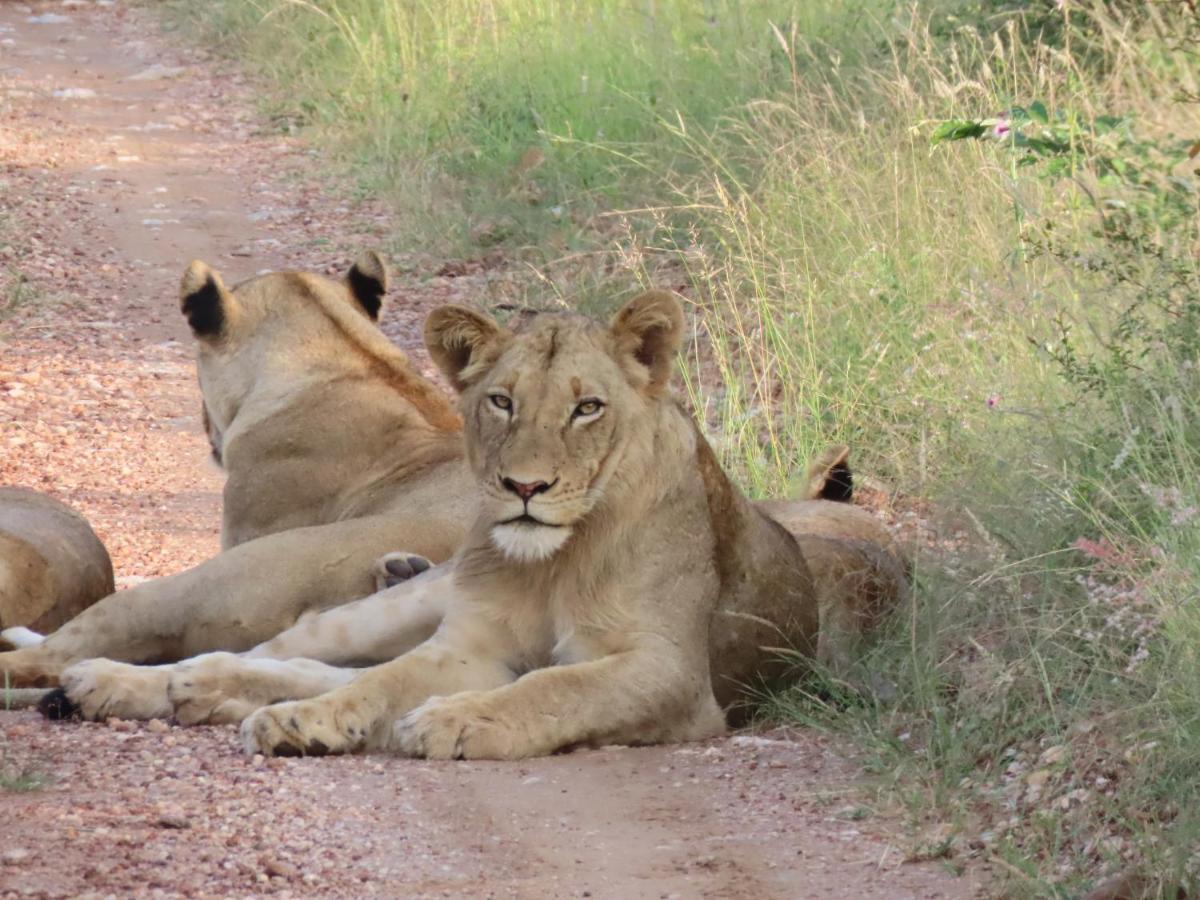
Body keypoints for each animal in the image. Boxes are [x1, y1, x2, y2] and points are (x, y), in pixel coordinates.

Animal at [49, 292, 907, 758]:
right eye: (501, 401)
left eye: (587, 406)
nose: (524, 486)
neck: (558, 557)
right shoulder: (467, 646)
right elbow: (388, 683)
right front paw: (314, 723)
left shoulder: (670, 673)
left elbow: (556, 686)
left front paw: (455, 722)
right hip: (404, 606)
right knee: (295, 649)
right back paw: (137, 682)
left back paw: (203, 694)